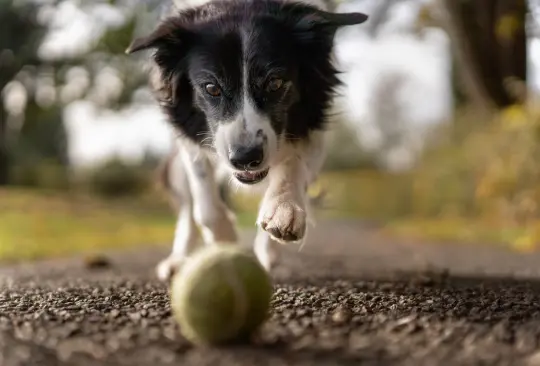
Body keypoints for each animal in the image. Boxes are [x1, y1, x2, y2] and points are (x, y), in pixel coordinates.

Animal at [127, 0, 370, 280]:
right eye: (211, 88)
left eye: (275, 83)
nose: (245, 158)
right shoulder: (189, 139)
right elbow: (205, 205)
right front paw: (225, 242)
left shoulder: (313, 126)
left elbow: (293, 163)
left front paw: (283, 209)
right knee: (188, 209)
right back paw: (178, 260)